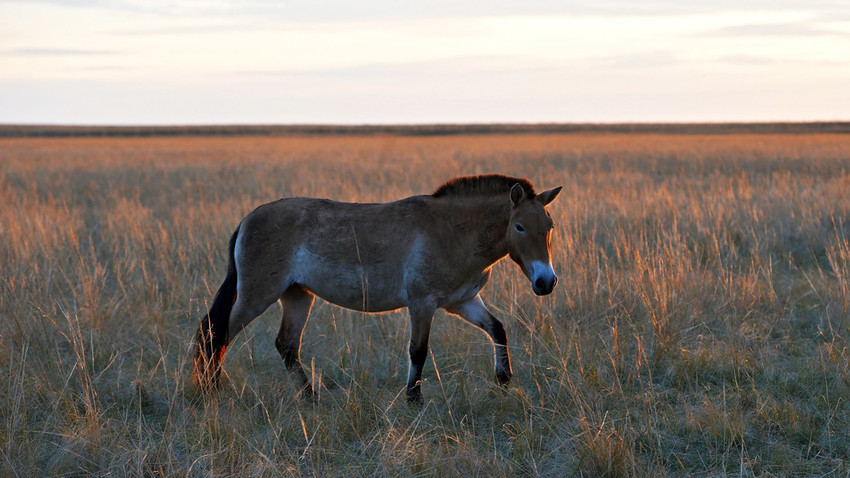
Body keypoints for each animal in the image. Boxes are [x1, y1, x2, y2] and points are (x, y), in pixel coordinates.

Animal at [195, 174, 560, 402]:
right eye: (519, 226)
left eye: (550, 225)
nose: (546, 282)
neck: (452, 231)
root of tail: (247, 220)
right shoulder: (422, 304)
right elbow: (418, 350)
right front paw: (414, 398)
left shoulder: (463, 301)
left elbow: (498, 330)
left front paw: (504, 379)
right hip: (257, 296)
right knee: (217, 334)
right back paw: (211, 391)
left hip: (297, 295)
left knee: (286, 345)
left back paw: (310, 397)